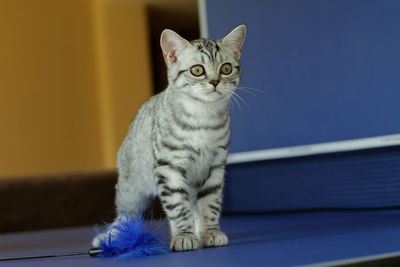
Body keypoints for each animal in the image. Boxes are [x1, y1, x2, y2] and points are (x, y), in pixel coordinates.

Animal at [94, 24, 247, 251]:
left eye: (226, 68)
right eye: (197, 70)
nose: (215, 81)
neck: (202, 118)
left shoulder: (215, 167)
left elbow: (210, 204)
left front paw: (210, 232)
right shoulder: (169, 167)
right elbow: (178, 207)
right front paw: (184, 236)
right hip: (130, 186)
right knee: (126, 212)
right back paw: (116, 235)